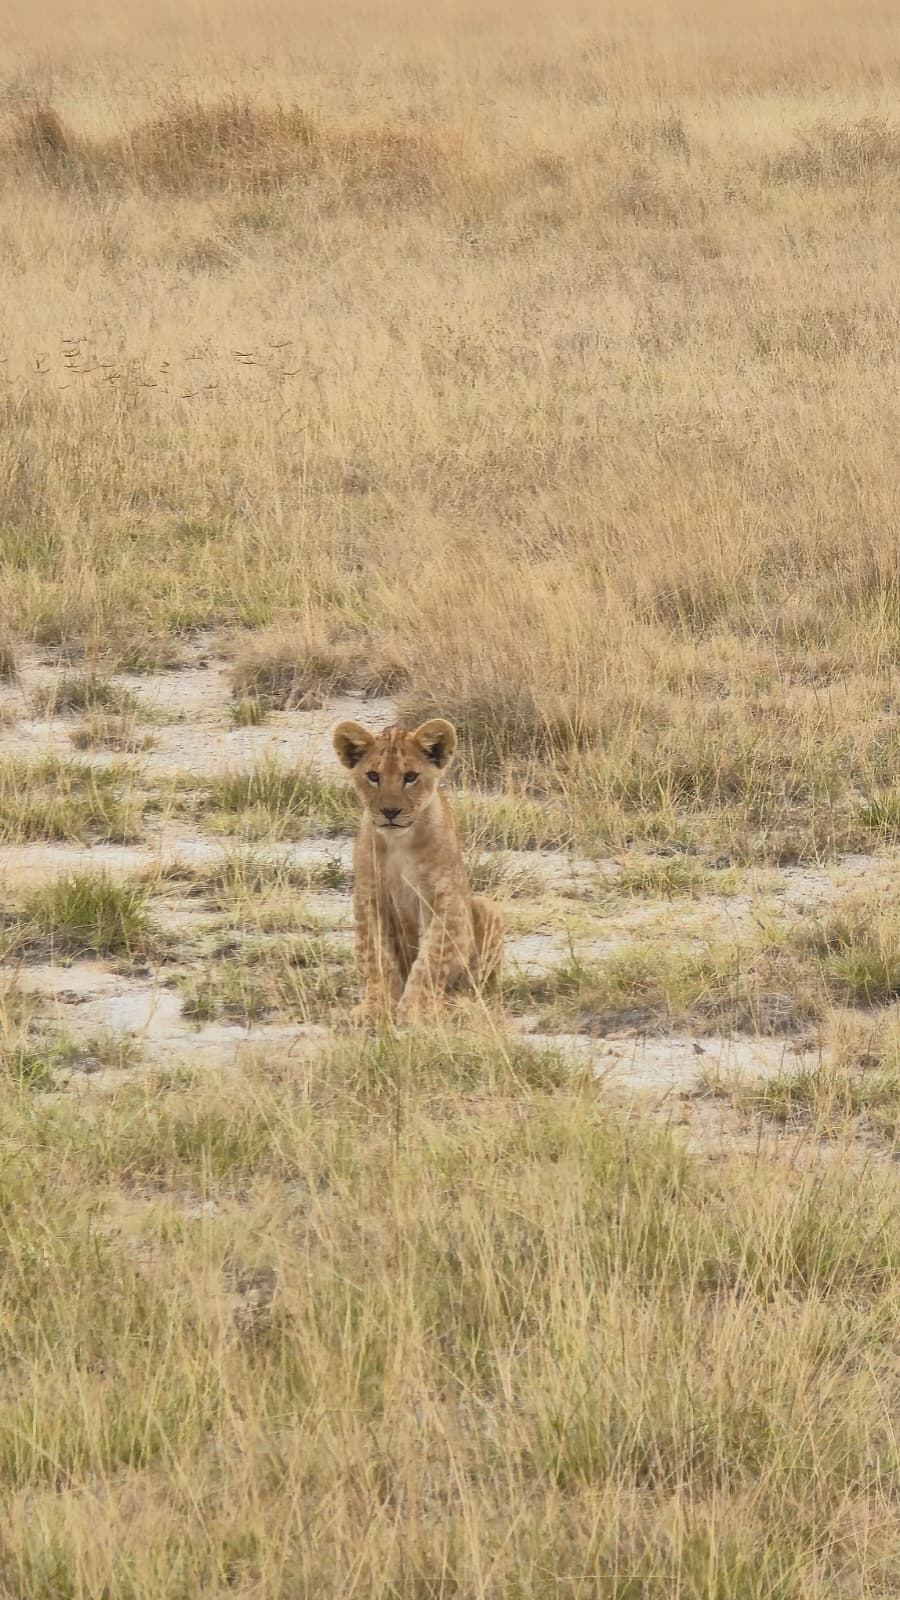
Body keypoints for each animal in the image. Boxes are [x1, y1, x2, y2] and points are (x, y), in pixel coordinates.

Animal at [332, 717, 503, 1022]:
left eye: (410, 776)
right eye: (373, 776)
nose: (390, 812)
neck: (398, 841)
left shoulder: (445, 901)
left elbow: (431, 958)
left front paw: (415, 1009)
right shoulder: (369, 897)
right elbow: (375, 955)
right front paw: (375, 1006)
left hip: (487, 908)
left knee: (479, 988)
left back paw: (459, 1004)